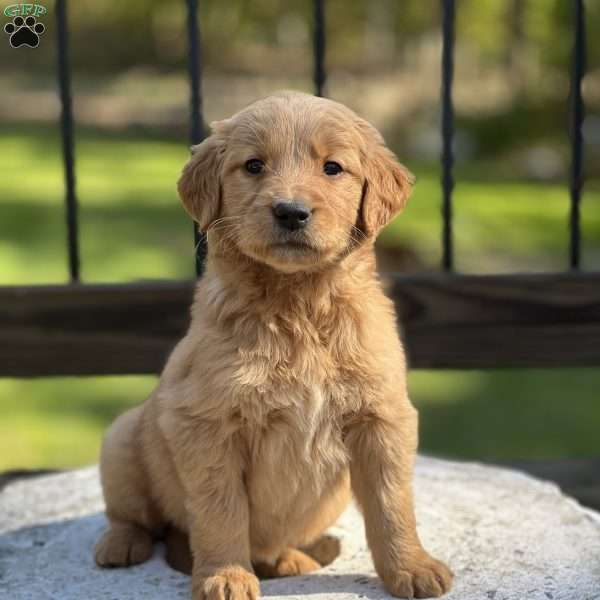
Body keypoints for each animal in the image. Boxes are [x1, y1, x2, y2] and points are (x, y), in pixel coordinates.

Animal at [94, 90, 452, 600]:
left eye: (332, 168)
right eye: (253, 166)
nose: (290, 211)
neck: (297, 306)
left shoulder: (383, 417)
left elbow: (392, 503)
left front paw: (412, 567)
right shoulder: (206, 423)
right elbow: (221, 509)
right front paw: (226, 575)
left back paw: (288, 560)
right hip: (122, 440)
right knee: (136, 517)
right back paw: (121, 544)